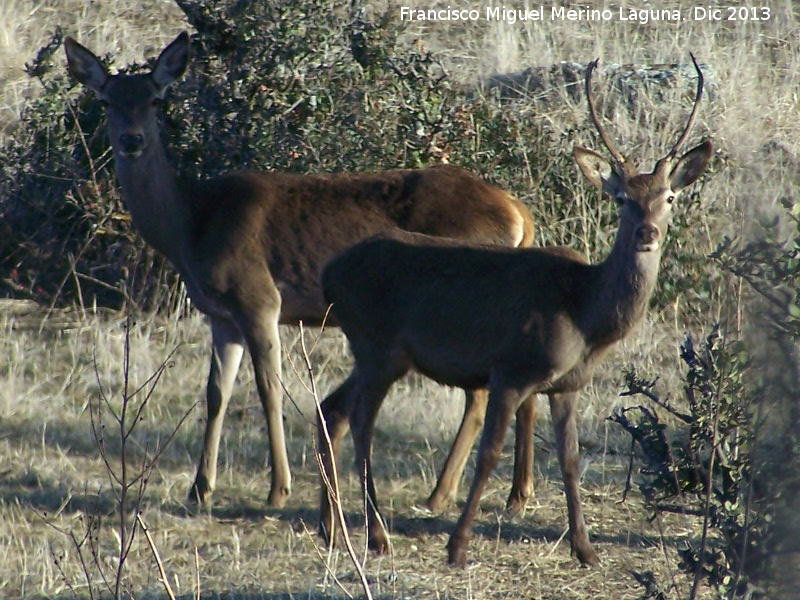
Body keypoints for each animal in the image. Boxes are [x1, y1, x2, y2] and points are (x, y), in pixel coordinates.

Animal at [64, 31, 536, 510]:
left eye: (156, 99)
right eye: (107, 101)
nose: (132, 140)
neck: (193, 226)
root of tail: (517, 211)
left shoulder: (259, 297)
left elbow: (269, 390)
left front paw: (278, 489)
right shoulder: (220, 315)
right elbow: (216, 393)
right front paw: (200, 488)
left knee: (478, 394)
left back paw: (441, 493)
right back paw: (514, 492)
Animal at [318, 54, 712, 564]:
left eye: (669, 197)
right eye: (622, 198)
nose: (648, 233)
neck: (586, 316)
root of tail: (330, 273)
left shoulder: (568, 385)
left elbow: (569, 459)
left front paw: (585, 549)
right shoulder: (510, 369)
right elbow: (489, 454)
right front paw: (458, 546)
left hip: (374, 351)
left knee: (332, 409)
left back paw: (333, 529)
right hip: (377, 345)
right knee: (362, 423)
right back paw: (377, 535)